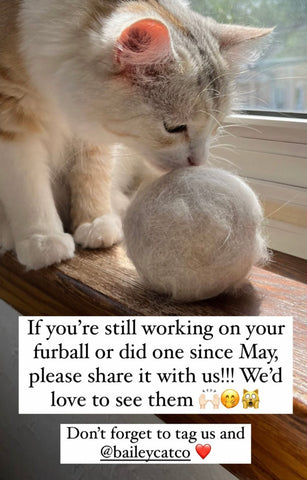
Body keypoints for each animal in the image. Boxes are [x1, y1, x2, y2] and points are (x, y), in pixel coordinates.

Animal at [0, 0, 272, 270]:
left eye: (215, 127)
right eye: (174, 128)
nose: (198, 162)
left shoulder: (94, 134)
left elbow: (93, 173)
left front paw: (96, 220)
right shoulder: (11, 122)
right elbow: (28, 187)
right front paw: (43, 238)